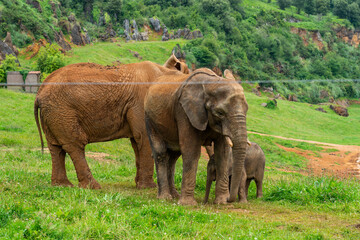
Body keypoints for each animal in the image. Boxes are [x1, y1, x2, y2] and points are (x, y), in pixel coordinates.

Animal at [143, 68, 248, 204]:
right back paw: (165, 198)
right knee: (161, 153)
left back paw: (175, 196)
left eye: (246, 110)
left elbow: (222, 153)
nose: (230, 199)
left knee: (173, 157)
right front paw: (187, 204)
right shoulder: (184, 111)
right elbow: (191, 150)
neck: (212, 82)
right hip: (149, 119)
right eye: (220, 113)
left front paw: (221, 202)